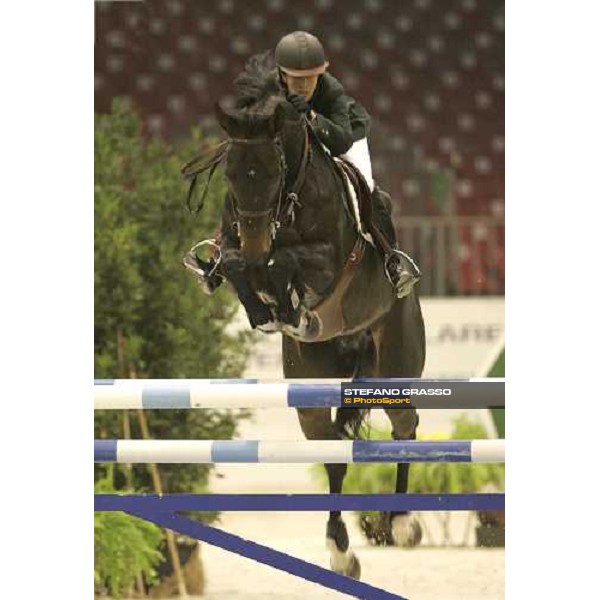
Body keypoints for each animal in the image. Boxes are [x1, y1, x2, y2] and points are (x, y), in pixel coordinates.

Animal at [183, 54, 426, 580]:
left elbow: (286, 261)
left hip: (395, 361)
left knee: (405, 428)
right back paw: (341, 550)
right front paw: (268, 309)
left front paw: (286, 302)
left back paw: (400, 523)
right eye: (231, 174)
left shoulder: (329, 260)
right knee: (332, 455)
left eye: (274, 171)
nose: (258, 241)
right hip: (312, 387)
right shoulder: (235, 242)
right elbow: (236, 264)